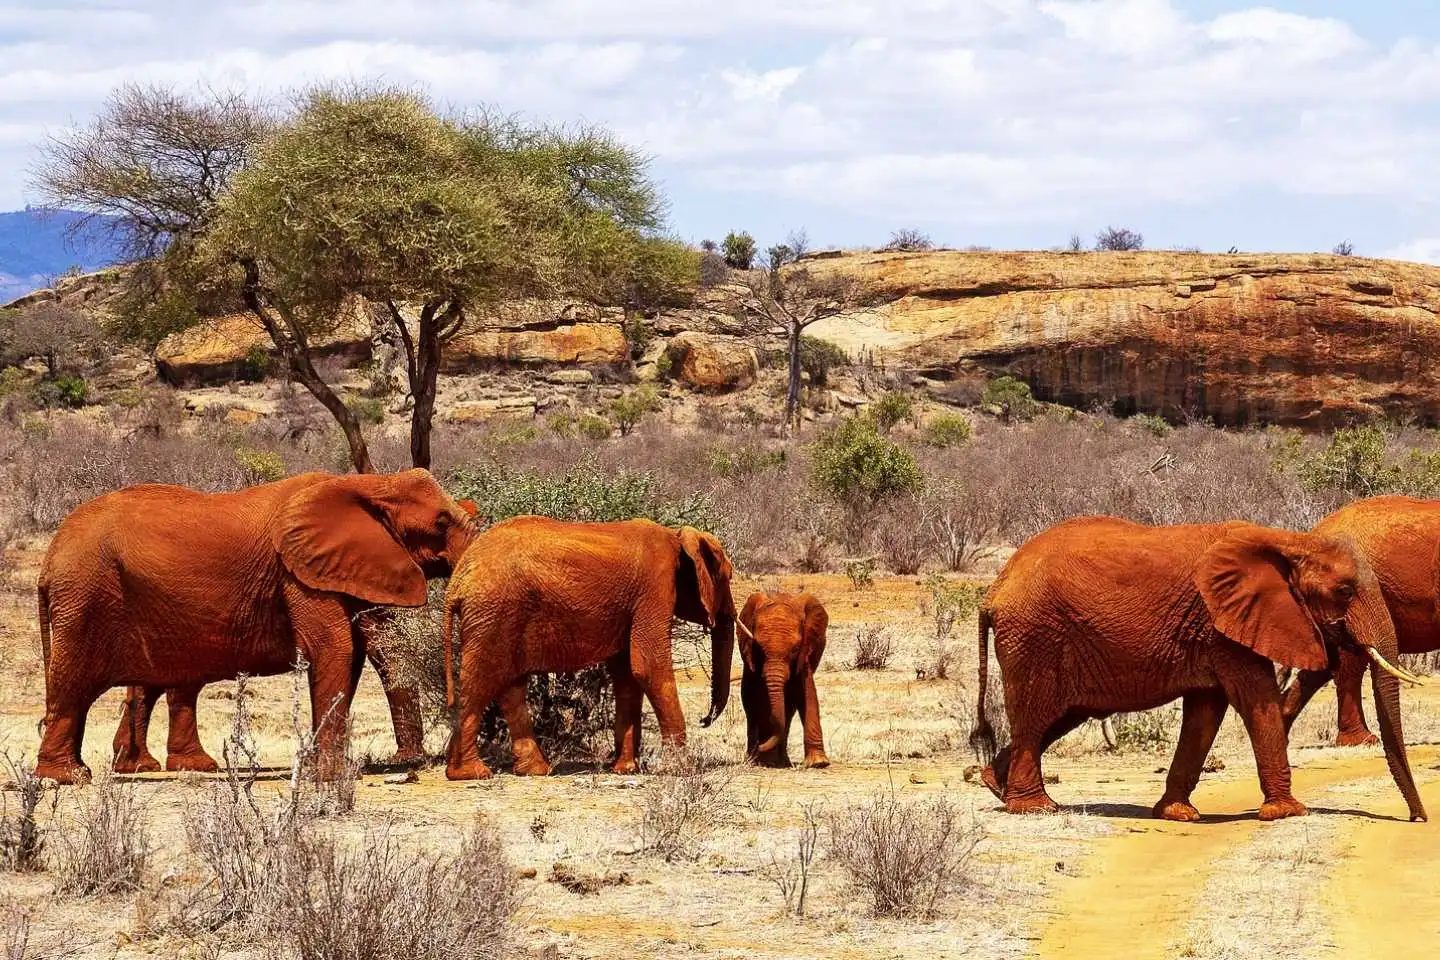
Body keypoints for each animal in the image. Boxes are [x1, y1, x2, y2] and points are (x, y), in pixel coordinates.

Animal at [35, 469, 479, 784]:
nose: (410, 761)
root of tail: (50, 556)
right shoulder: (296, 574)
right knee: (74, 684)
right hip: (85, 596)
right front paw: (331, 777)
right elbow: (335, 649)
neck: (370, 482)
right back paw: (69, 777)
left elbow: (364, 648)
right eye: (441, 522)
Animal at [441, 516, 737, 780]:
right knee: (481, 682)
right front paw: (680, 771)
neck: (676, 536)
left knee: (510, 687)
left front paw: (624, 769)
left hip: (498, 615)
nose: (704, 719)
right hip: (494, 611)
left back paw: (533, 771)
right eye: (728, 577)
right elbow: (648, 666)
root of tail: (457, 581)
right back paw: (471, 773)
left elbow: (627, 675)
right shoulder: (655, 586)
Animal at [737, 592, 830, 769]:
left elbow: (807, 693)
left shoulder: (805, 653)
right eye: (758, 648)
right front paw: (767, 761)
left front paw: (818, 763)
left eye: (795, 649)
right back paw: (757, 759)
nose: (760, 746)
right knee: (751, 708)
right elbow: (761, 700)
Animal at [969, 516, 1427, 823]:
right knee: (1035, 717)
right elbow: (1255, 698)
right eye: (1345, 591)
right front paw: (1289, 812)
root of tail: (994, 590)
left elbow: (1206, 712)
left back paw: (995, 785)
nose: (1417, 819)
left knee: (1059, 717)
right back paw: (1036, 808)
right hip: (1035, 635)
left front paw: (1177, 814)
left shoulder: (1216, 628)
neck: (1290, 541)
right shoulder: (1222, 623)